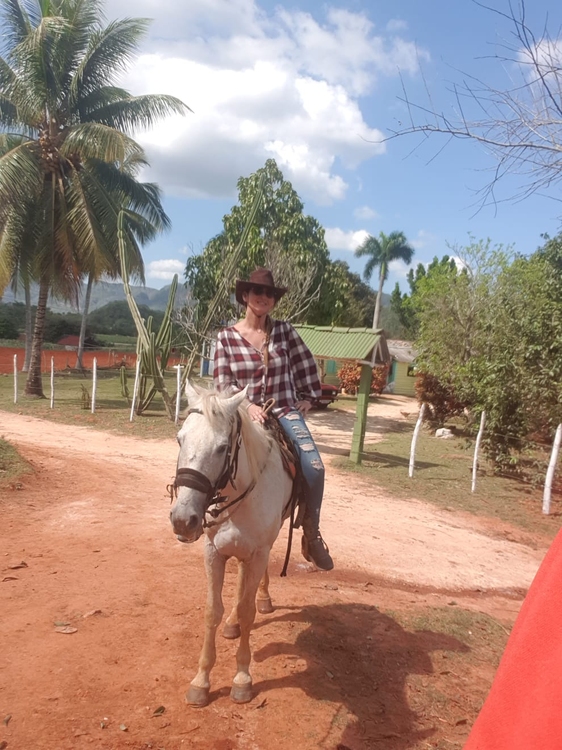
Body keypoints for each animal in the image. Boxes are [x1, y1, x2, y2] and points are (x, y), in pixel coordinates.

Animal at [168, 384, 294, 708]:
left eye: (223, 447)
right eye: (179, 439)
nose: (183, 520)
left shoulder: (259, 552)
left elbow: (248, 611)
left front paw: (242, 679)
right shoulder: (213, 552)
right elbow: (213, 610)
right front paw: (201, 682)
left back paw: (263, 598)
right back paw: (232, 623)